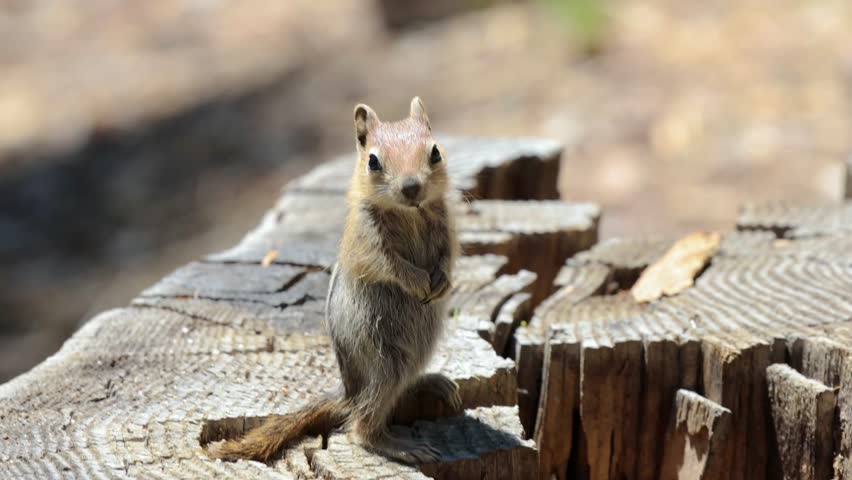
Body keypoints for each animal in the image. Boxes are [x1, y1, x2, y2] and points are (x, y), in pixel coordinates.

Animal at [208, 97, 461, 465]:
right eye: (373, 161)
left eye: (435, 152)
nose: (412, 187)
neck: (409, 212)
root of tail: (347, 391)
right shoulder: (367, 241)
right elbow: (388, 265)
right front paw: (416, 280)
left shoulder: (445, 225)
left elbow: (448, 255)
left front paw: (442, 281)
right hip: (386, 361)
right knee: (362, 427)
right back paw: (404, 446)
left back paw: (435, 383)